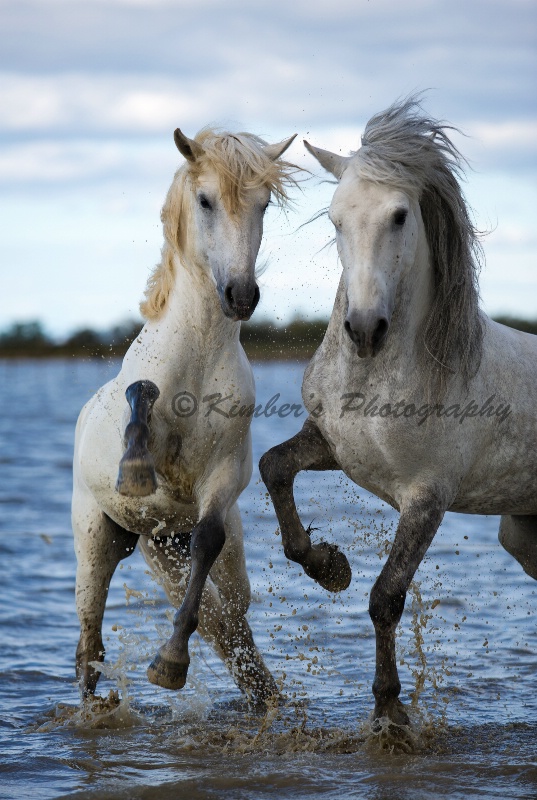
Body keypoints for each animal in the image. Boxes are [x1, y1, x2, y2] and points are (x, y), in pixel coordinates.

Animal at [72, 122, 294, 704]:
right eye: (205, 200)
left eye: (263, 204)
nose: (241, 295)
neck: (196, 357)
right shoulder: (140, 409)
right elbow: (140, 399)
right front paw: (135, 471)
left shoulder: (224, 477)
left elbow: (208, 540)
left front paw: (170, 663)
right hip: (97, 542)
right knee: (88, 647)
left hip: (170, 547)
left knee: (233, 623)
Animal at [258, 97, 532, 728]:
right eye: (335, 219)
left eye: (401, 215)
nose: (364, 329)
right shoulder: (334, 448)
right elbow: (273, 466)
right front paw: (328, 567)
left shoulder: (427, 497)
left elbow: (386, 596)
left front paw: (390, 710)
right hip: (523, 534)